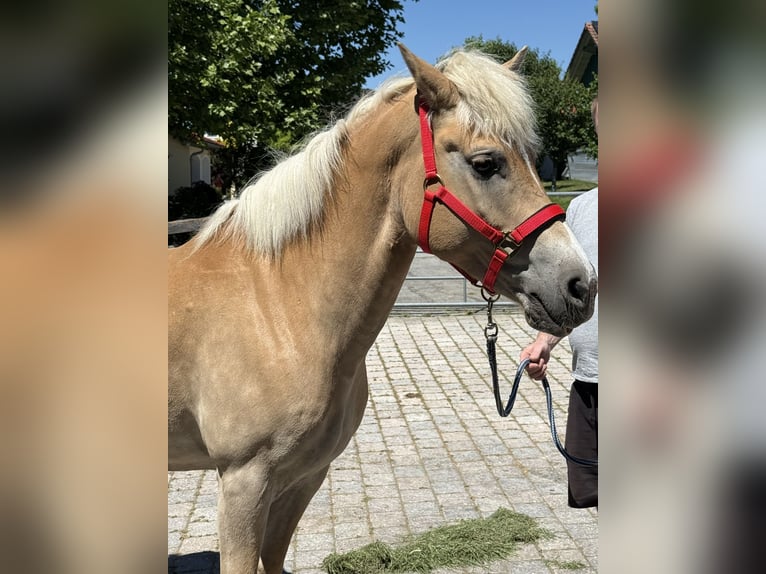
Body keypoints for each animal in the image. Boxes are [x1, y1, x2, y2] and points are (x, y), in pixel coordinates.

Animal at [168, 44, 597, 574]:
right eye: (485, 163)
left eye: (536, 160)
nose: (581, 285)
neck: (277, 304)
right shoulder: (243, 483)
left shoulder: (303, 477)